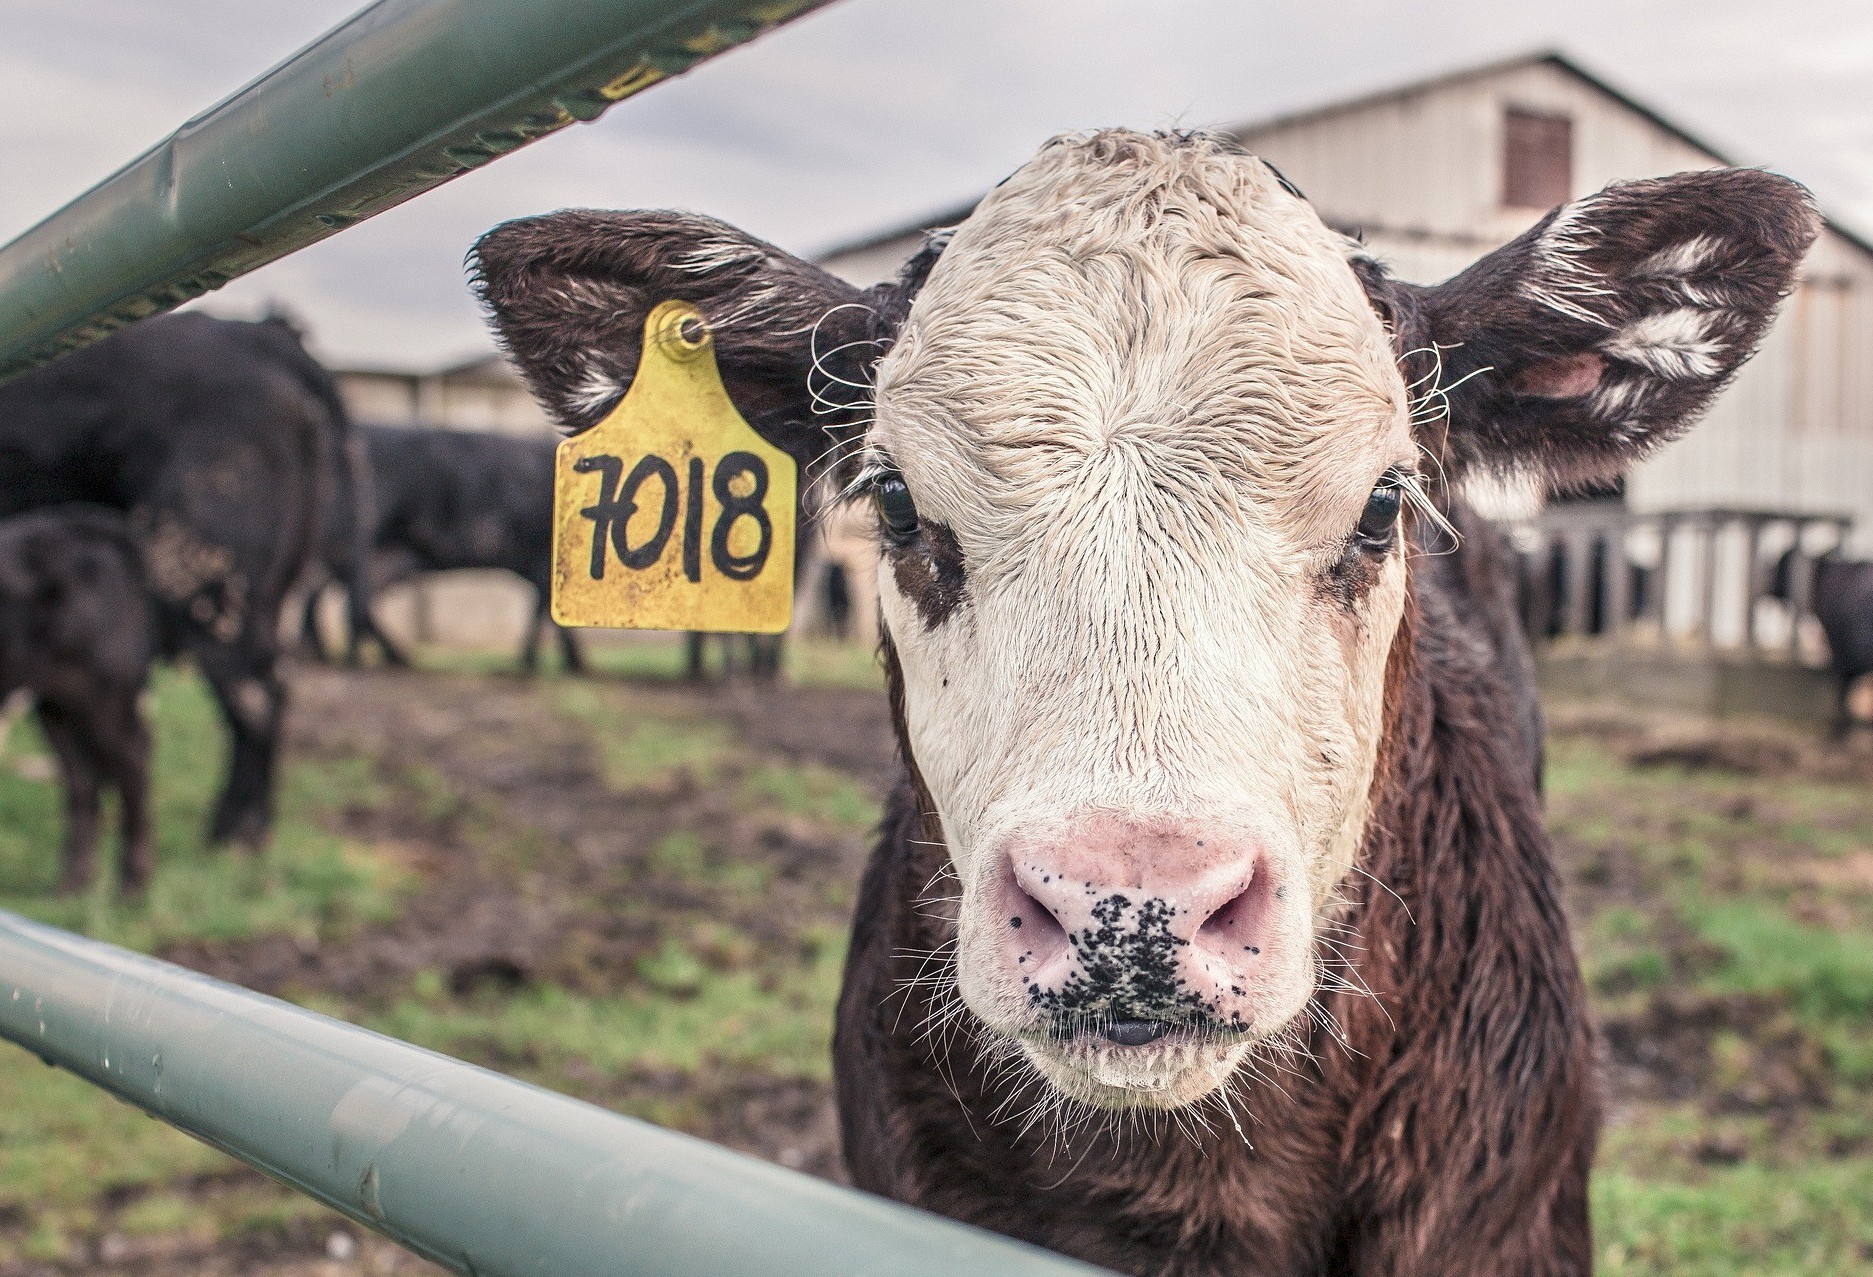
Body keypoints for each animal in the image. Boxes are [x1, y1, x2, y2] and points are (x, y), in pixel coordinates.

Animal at [0, 501, 152, 891]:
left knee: (132, 760)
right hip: (58, 703)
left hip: (105, 695)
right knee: (82, 777)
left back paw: (130, 886)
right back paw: (72, 884)